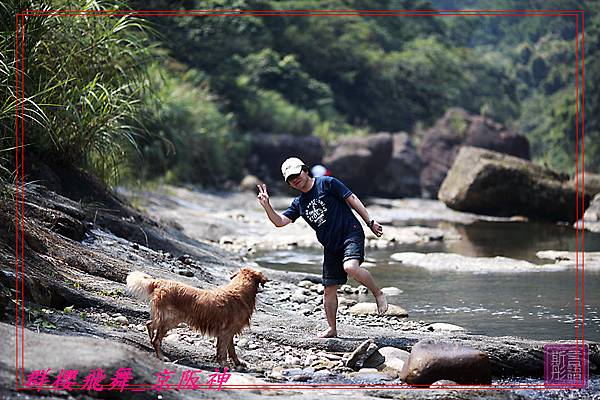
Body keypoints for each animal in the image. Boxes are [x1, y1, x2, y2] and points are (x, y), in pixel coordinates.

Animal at [126, 268, 268, 368]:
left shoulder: (230, 333)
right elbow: (223, 351)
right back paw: (161, 357)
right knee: (156, 338)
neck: (240, 289)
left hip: (168, 319)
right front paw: (225, 365)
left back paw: (151, 341)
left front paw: (238, 363)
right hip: (170, 319)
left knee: (150, 324)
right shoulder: (225, 332)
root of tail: (159, 282)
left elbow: (232, 350)